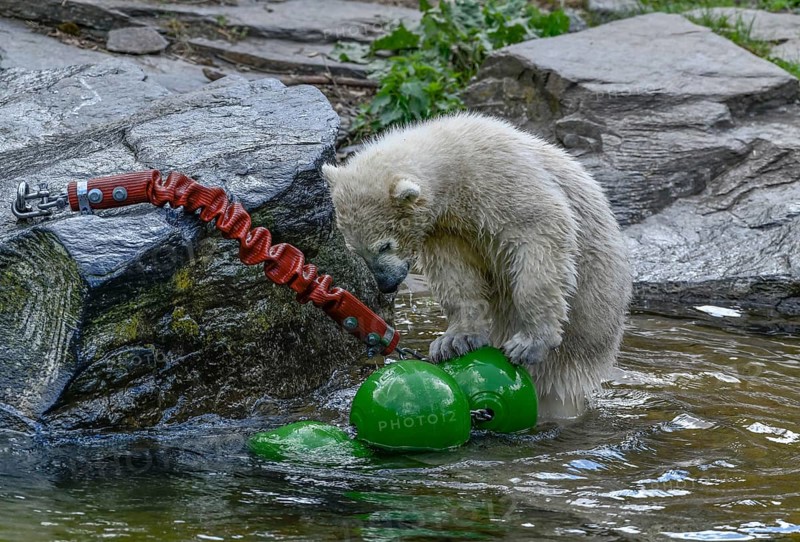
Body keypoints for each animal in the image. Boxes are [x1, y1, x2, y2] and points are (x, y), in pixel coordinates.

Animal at [322, 113, 631, 419]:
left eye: (385, 245)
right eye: (357, 251)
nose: (387, 284)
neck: (454, 162)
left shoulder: (502, 180)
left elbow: (540, 239)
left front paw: (530, 342)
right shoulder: (447, 230)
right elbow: (455, 276)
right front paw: (454, 341)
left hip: (588, 325)